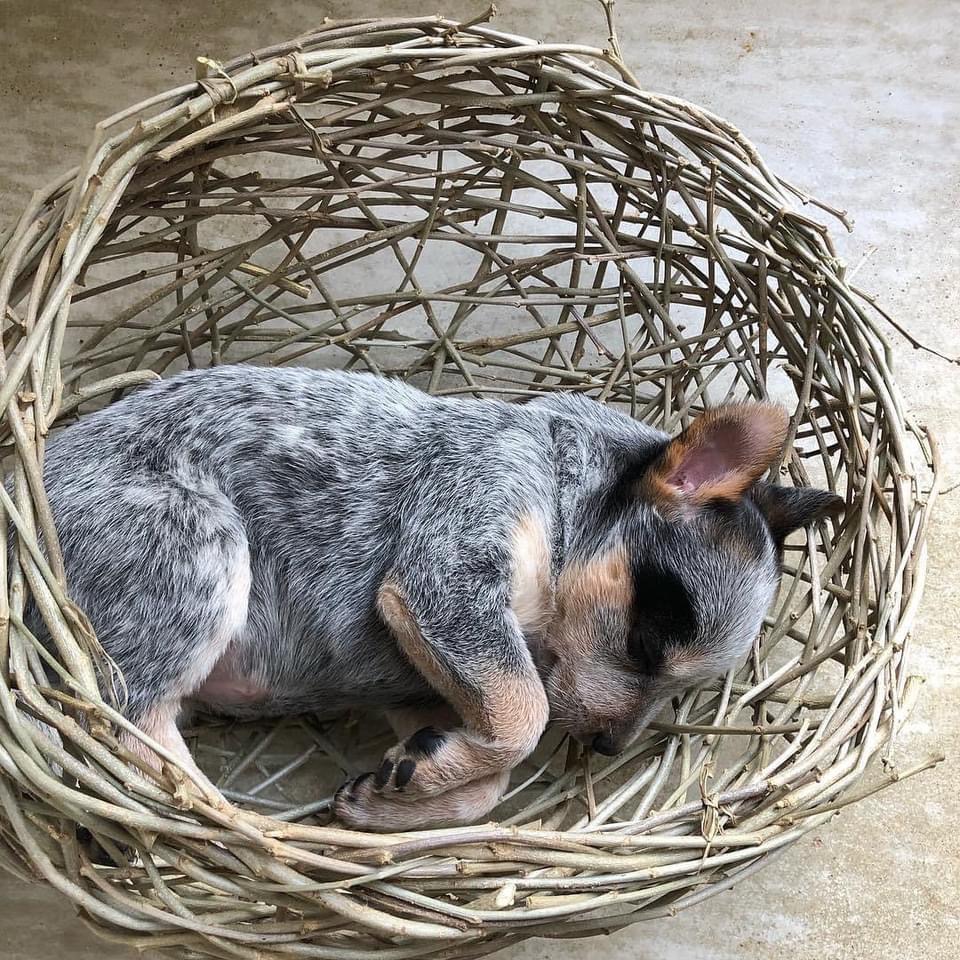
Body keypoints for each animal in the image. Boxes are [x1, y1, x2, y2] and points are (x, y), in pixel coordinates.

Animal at [22, 364, 844, 828]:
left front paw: (408, 790)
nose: (610, 746)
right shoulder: (447, 573)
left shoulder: (424, 680)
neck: (557, 489)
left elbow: (492, 767)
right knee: (127, 725)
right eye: (644, 643)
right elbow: (527, 715)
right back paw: (244, 825)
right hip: (199, 557)